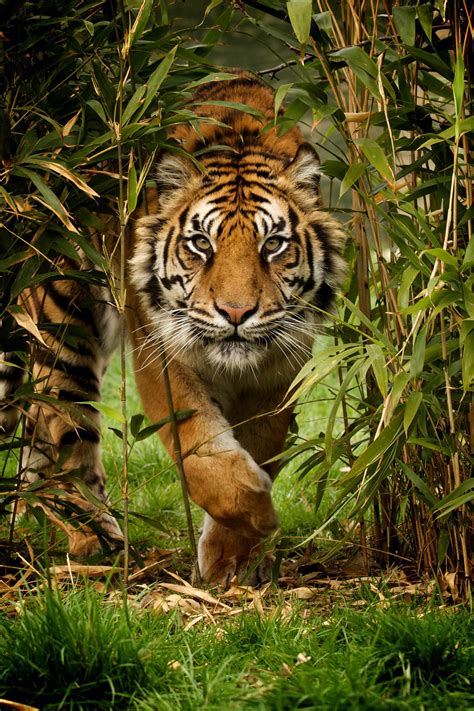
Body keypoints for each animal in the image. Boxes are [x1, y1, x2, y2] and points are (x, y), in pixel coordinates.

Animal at [0, 73, 346, 585]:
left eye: (273, 244)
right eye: (201, 243)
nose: (236, 313)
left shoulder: (281, 366)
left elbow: (260, 443)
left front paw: (232, 559)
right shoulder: (162, 352)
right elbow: (199, 449)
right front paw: (258, 513)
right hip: (62, 319)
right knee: (64, 429)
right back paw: (96, 542)